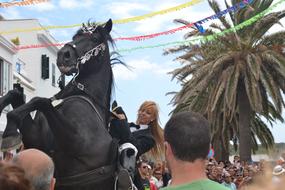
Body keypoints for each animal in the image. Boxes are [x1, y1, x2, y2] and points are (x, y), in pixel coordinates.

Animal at [0, 19, 118, 190]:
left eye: (95, 39)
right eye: (75, 37)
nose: (64, 54)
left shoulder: (76, 141)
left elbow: (40, 100)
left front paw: (9, 130)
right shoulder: (37, 141)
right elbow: (14, 94)